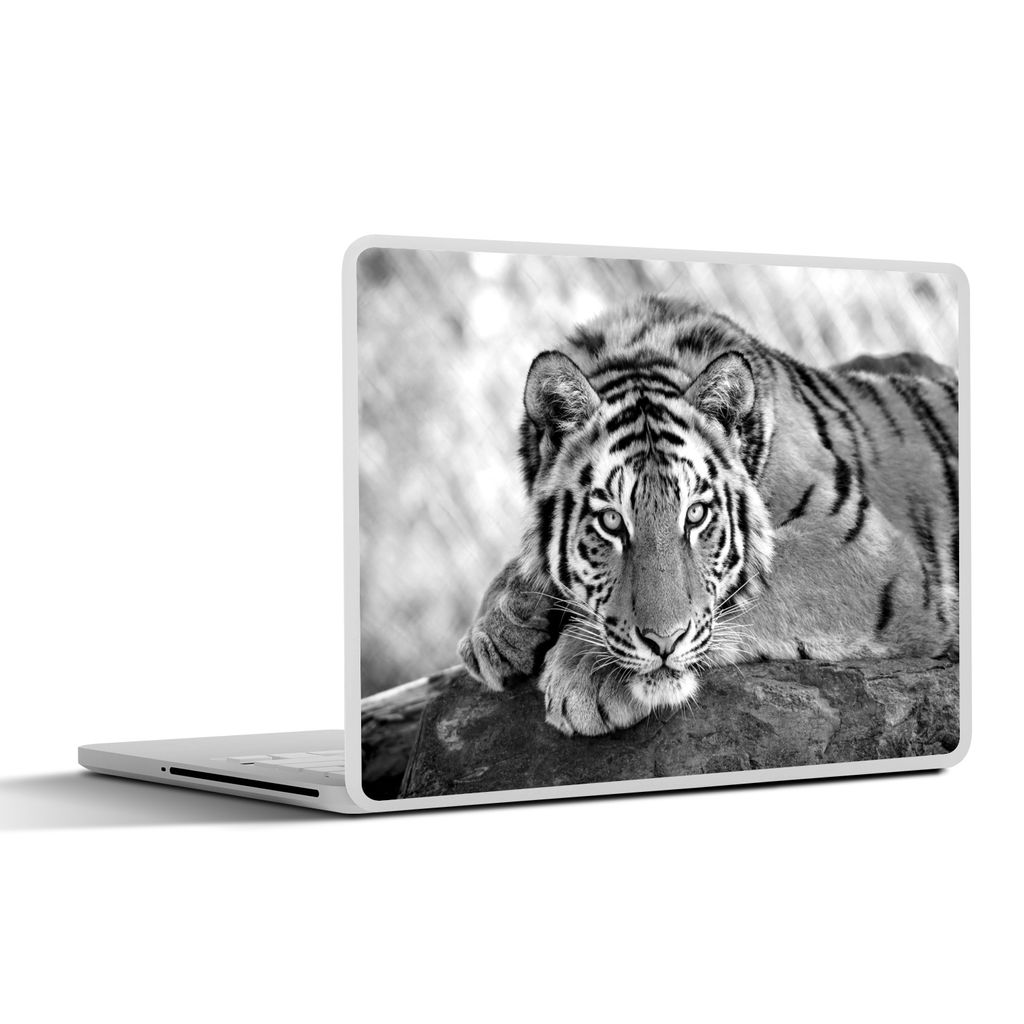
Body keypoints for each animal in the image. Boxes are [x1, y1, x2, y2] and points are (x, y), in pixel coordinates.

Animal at [458, 295, 959, 736]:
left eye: (696, 514)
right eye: (612, 522)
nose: (663, 644)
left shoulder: (866, 547)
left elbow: (750, 584)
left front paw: (585, 668)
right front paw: (498, 627)